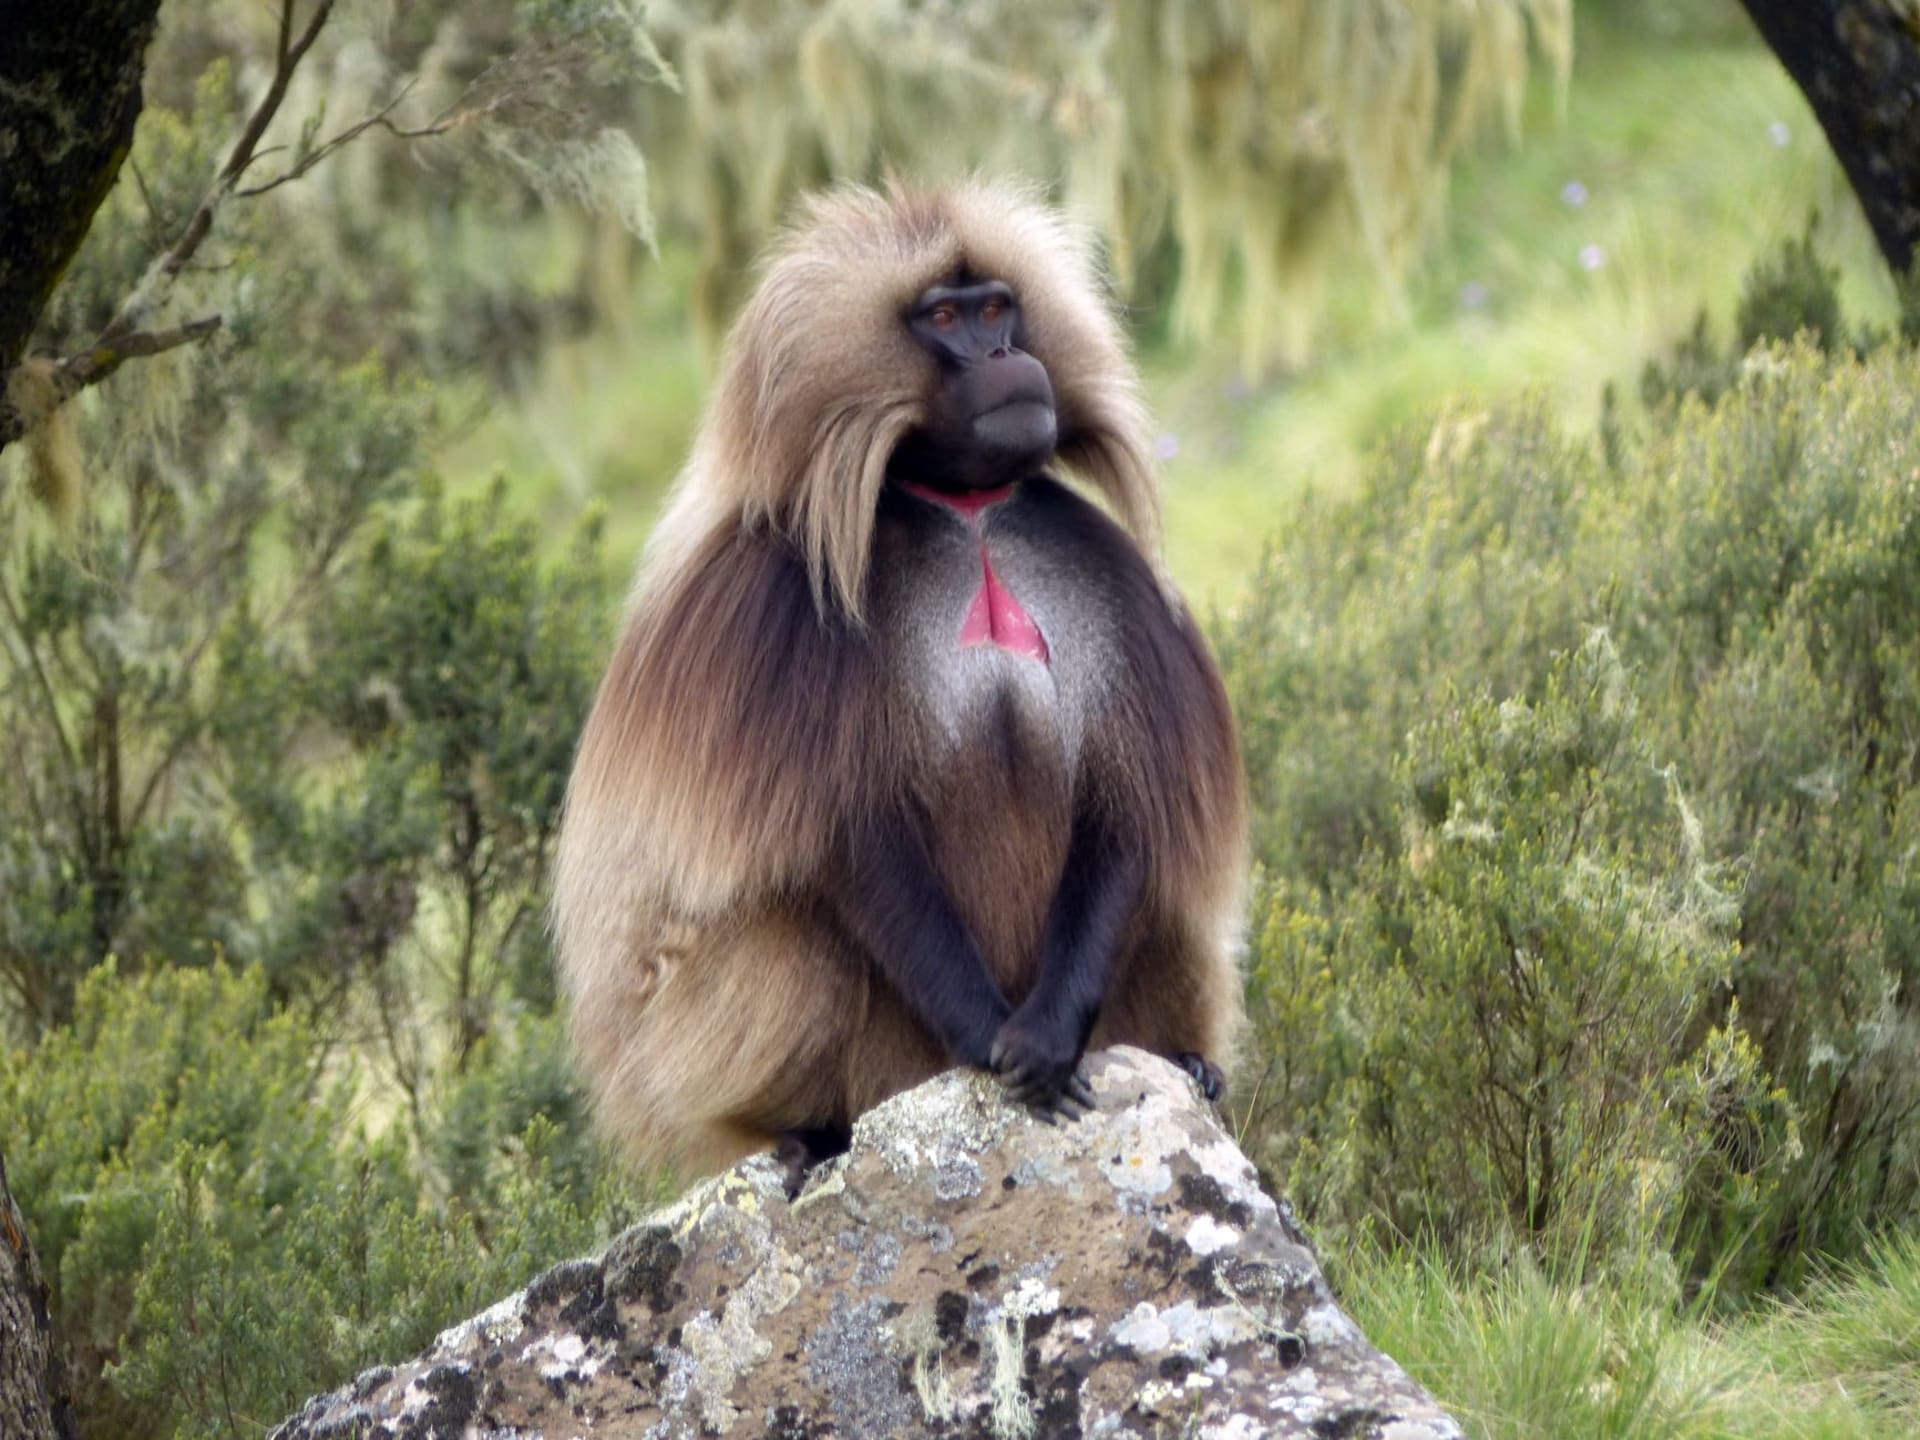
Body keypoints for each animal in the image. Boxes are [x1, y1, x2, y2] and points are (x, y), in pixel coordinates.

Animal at [552, 180, 1247, 1188]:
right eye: (945, 319)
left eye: (997, 308)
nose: (1005, 357)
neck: (968, 512)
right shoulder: (778, 601)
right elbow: (848, 837)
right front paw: (1000, 1042)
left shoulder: (1108, 582)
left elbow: (1125, 809)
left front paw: (1048, 1040)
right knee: (793, 939)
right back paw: (806, 1130)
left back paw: (1189, 1061)